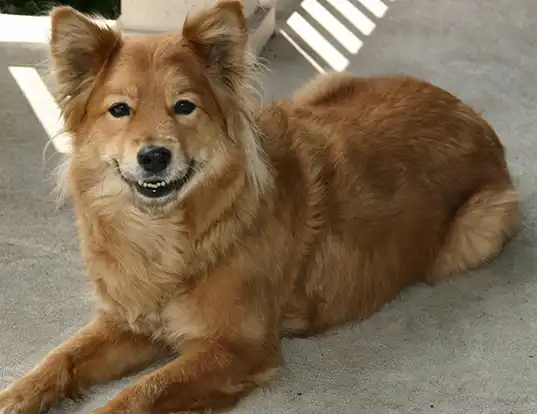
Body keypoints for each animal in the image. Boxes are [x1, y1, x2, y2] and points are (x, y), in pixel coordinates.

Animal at [0, 1, 520, 412]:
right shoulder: (129, 322)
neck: (167, 233)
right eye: (119, 110)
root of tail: (466, 110)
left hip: (479, 229)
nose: (153, 157)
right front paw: (16, 394)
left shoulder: (237, 348)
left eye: (184, 106)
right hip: (320, 87)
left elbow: (140, 393)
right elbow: (60, 358)